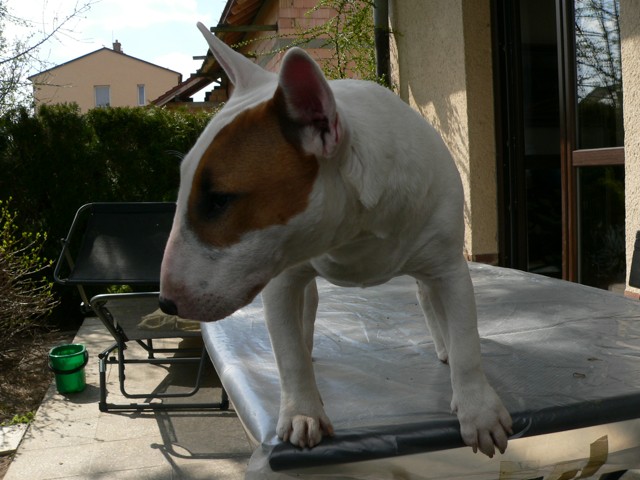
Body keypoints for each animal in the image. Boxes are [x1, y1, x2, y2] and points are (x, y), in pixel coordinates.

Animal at [160, 22, 512, 458]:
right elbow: (288, 352)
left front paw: (479, 412)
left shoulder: (449, 266)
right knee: (305, 317)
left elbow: (466, 340)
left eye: (219, 200)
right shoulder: (281, 279)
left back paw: (442, 343)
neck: (353, 231)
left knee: (428, 298)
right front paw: (302, 413)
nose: (167, 302)